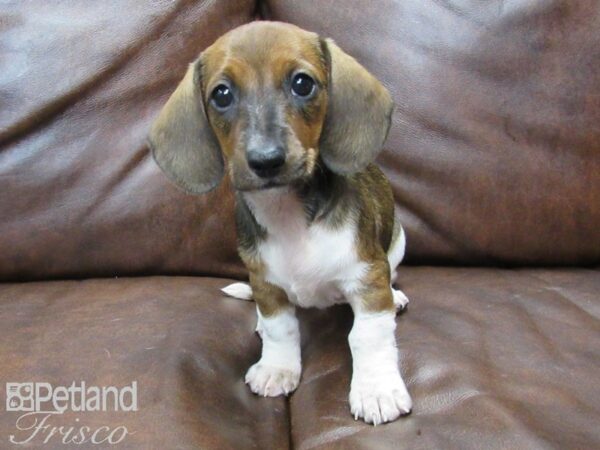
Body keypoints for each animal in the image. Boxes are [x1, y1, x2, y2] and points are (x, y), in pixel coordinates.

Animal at [149, 21, 412, 424]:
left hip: (398, 241)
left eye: (302, 83)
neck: (288, 216)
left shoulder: (367, 279)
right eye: (221, 94)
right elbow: (280, 329)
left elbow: (367, 336)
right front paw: (278, 368)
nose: (266, 159)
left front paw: (376, 389)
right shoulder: (267, 284)